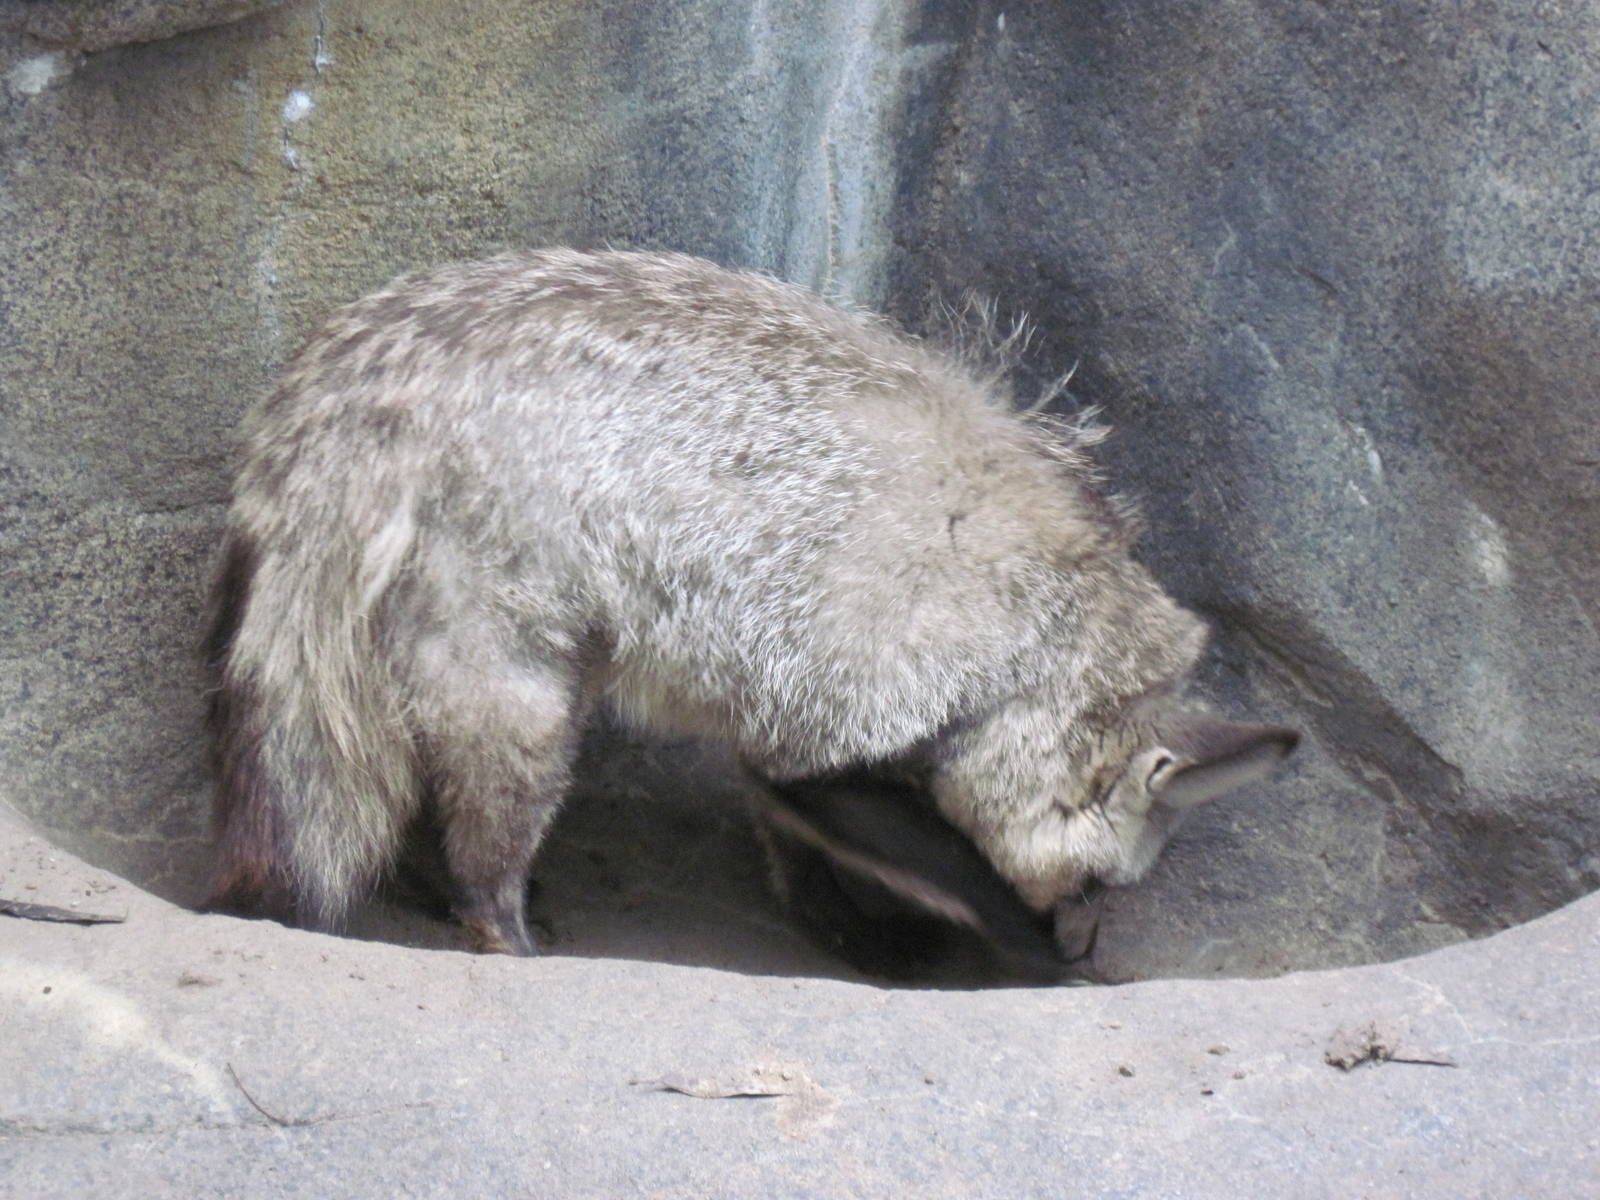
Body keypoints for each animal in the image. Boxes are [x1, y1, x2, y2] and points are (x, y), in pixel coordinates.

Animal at [203, 247, 1298, 963]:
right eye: (1094, 883)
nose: (1083, 948)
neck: (1033, 624)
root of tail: (354, 370)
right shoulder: (825, 729)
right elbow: (949, 870)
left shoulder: (783, 733)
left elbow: (809, 857)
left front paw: (845, 929)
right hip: (524, 703)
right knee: (484, 864)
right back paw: (511, 935)